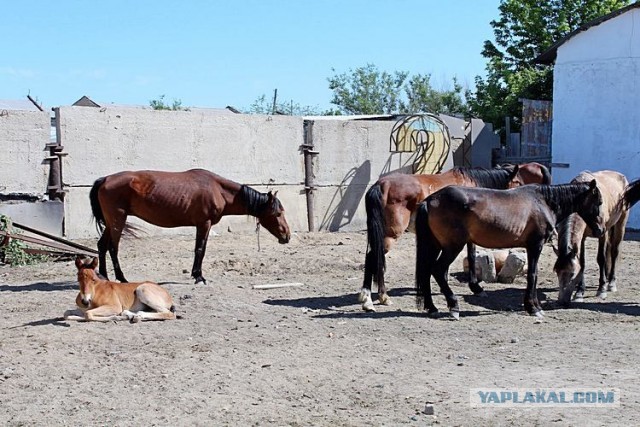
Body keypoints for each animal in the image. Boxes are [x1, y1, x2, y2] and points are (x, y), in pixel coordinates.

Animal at [89, 169, 291, 285]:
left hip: (111, 222)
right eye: (278, 213)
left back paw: (104, 276)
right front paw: (198, 276)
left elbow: (201, 249)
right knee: (113, 247)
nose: (287, 236)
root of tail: (105, 179)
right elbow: (200, 249)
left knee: (102, 246)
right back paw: (121, 278)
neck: (218, 189)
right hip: (118, 220)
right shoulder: (204, 224)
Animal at [359, 162, 551, 311]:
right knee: (373, 257)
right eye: (517, 181)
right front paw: (476, 287)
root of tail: (380, 185)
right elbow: (472, 256)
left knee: (375, 258)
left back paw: (380, 296)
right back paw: (370, 299)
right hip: (391, 235)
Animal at [415, 181, 604, 319]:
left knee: (426, 272)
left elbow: (533, 276)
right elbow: (532, 275)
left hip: (434, 246)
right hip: (452, 247)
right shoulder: (535, 245)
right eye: (599, 202)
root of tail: (430, 201)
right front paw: (533, 308)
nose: (600, 230)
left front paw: (534, 305)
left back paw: (431, 307)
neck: (544, 202)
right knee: (437, 270)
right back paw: (454, 306)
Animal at [555, 172, 640, 306]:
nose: (562, 301)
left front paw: (602, 289)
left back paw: (611, 283)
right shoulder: (582, 238)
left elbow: (601, 258)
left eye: (572, 273)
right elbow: (582, 262)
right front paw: (579, 292)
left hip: (620, 225)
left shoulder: (602, 234)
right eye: (556, 271)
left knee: (614, 252)